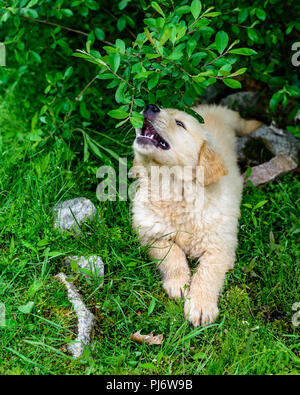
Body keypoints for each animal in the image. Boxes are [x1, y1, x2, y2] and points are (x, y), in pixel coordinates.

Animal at [132, 103, 262, 326]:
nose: (150, 106)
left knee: (242, 121)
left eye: (179, 124)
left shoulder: (220, 248)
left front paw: (201, 306)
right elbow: (171, 256)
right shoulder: (152, 235)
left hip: (229, 116)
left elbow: (207, 275)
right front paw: (179, 284)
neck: (174, 189)